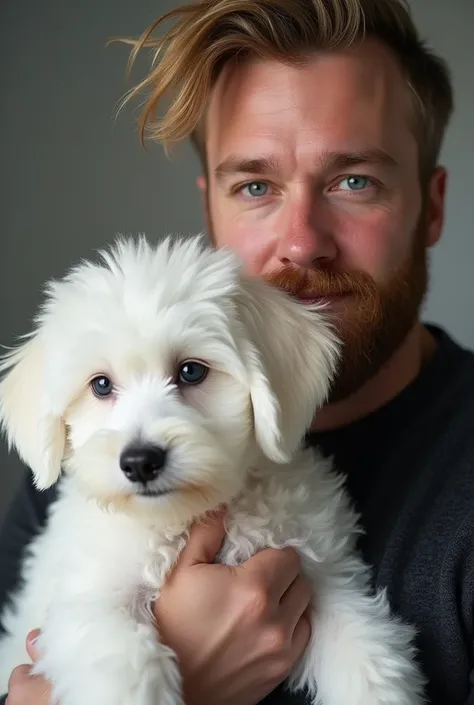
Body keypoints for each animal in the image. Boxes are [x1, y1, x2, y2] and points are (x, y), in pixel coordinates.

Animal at [0, 236, 424, 704]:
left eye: (191, 371)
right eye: (100, 385)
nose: (140, 462)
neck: (183, 518)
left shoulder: (326, 578)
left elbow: (363, 651)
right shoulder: (88, 594)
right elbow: (121, 655)